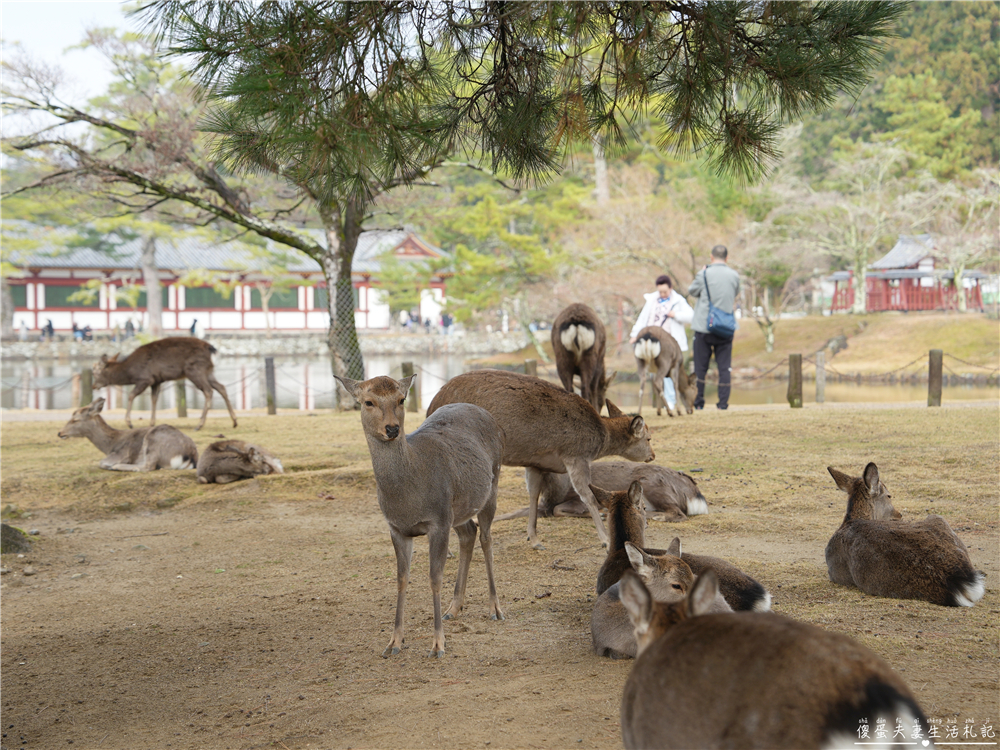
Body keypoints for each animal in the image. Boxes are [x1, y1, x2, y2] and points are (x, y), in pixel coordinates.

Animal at [58, 397, 198, 472]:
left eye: (75, 419)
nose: (60, 433)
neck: (110, 446)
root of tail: (190, 456)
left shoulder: (122, 453)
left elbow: (101, 462)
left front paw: (110, 465)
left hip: (154, 441)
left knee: (148, 466)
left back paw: (118, 466)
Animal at [92, 337, 238, 431]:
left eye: (96, 372)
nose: (94, 386)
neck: (130, 373)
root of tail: (211, 349)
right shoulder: (156, 380)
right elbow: (154, 399)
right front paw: (152, 424)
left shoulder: (145, 379)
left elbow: (131, 395)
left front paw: (130, 423)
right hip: (208, 371)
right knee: (221, 387)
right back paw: (234, 421)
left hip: (195, 370)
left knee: (208, 391)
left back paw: (199, 425)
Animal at [335, 373, 505, 658]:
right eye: (368, 401)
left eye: (401, 399)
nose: (392, 429)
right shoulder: (397, 528)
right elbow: (401, 579)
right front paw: (393, 642)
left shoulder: (438, 521)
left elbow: (434, 578)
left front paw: (437, 645)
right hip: (457, 509)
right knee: (469, 533)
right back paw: (453, 608)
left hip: (491, 485)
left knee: (487, 538)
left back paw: (495, 609)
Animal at [426, 369, 654, 549]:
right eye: (649, 437)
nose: (652, 455)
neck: (598, 440)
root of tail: (432, 404)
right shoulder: (576, 455)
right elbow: (587, 496)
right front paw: (606, 540)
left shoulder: (535, 463)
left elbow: (534, 494)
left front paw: (534, 539)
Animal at [497, 461, 707, 522]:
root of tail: (695, 494)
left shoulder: (581, 498)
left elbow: (559, 510)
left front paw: (602, 513)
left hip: (654, 485)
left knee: (679, 513)